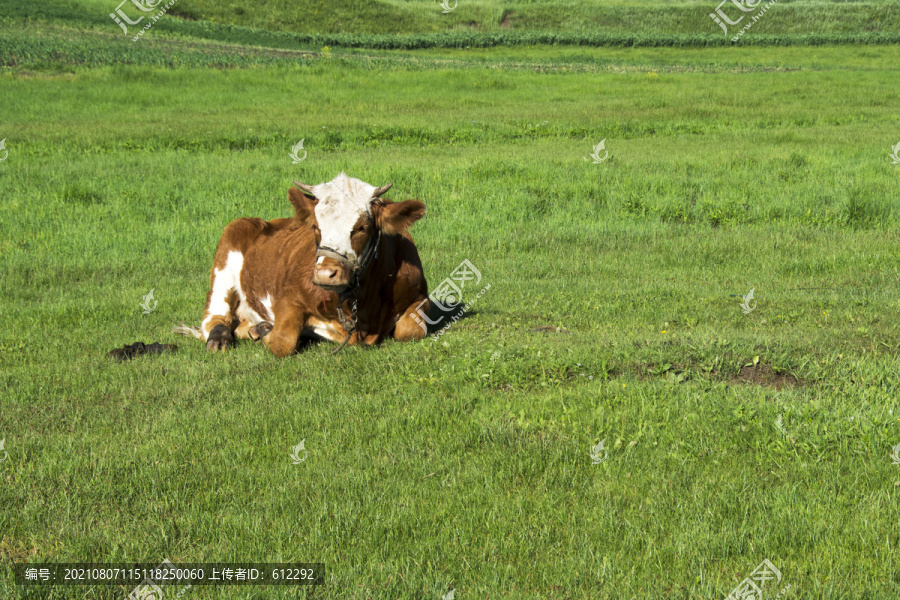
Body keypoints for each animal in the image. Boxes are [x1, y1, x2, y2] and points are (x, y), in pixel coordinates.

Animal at [178, 172, 430, 356]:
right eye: (316, 227)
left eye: (361, 228)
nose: (326, 273)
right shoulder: (289, 296)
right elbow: (283, 341)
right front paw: (268, 334)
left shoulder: (420, 296)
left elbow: (410, 330)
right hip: (225, 261)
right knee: (215, 317)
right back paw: (222, 338)